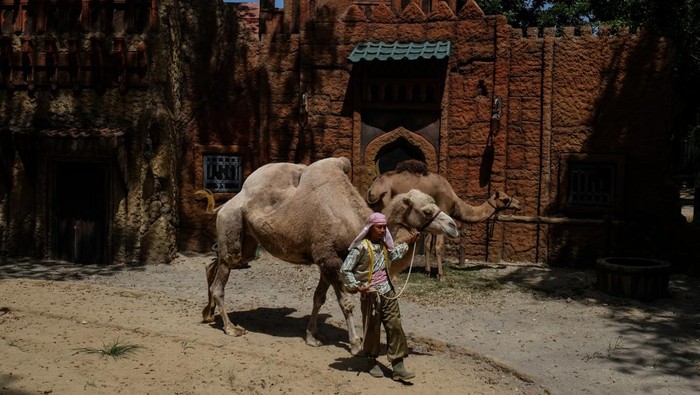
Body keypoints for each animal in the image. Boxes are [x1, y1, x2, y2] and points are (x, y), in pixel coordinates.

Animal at [201, 158, 460, 356]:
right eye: (426, 211)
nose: (453, 226)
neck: (355, 224)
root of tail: (228, 202)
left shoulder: (325, 262)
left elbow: (318, 298)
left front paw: (312, 336)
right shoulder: (330, 258)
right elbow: (345, 303)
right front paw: (355, 344)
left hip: (247, 240)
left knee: (214, 264)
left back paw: (208, 313)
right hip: (232, 223)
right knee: (221, 277)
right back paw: (231, 328)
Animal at [366, 160, 520, 282]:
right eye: (505, 199)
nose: (518, 204)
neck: (456, 203)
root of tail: (373, 189)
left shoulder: (432, 221)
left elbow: (428, 243)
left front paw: (428, 272)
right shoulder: (442, 211)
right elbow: (438, 246)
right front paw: (441, 276)